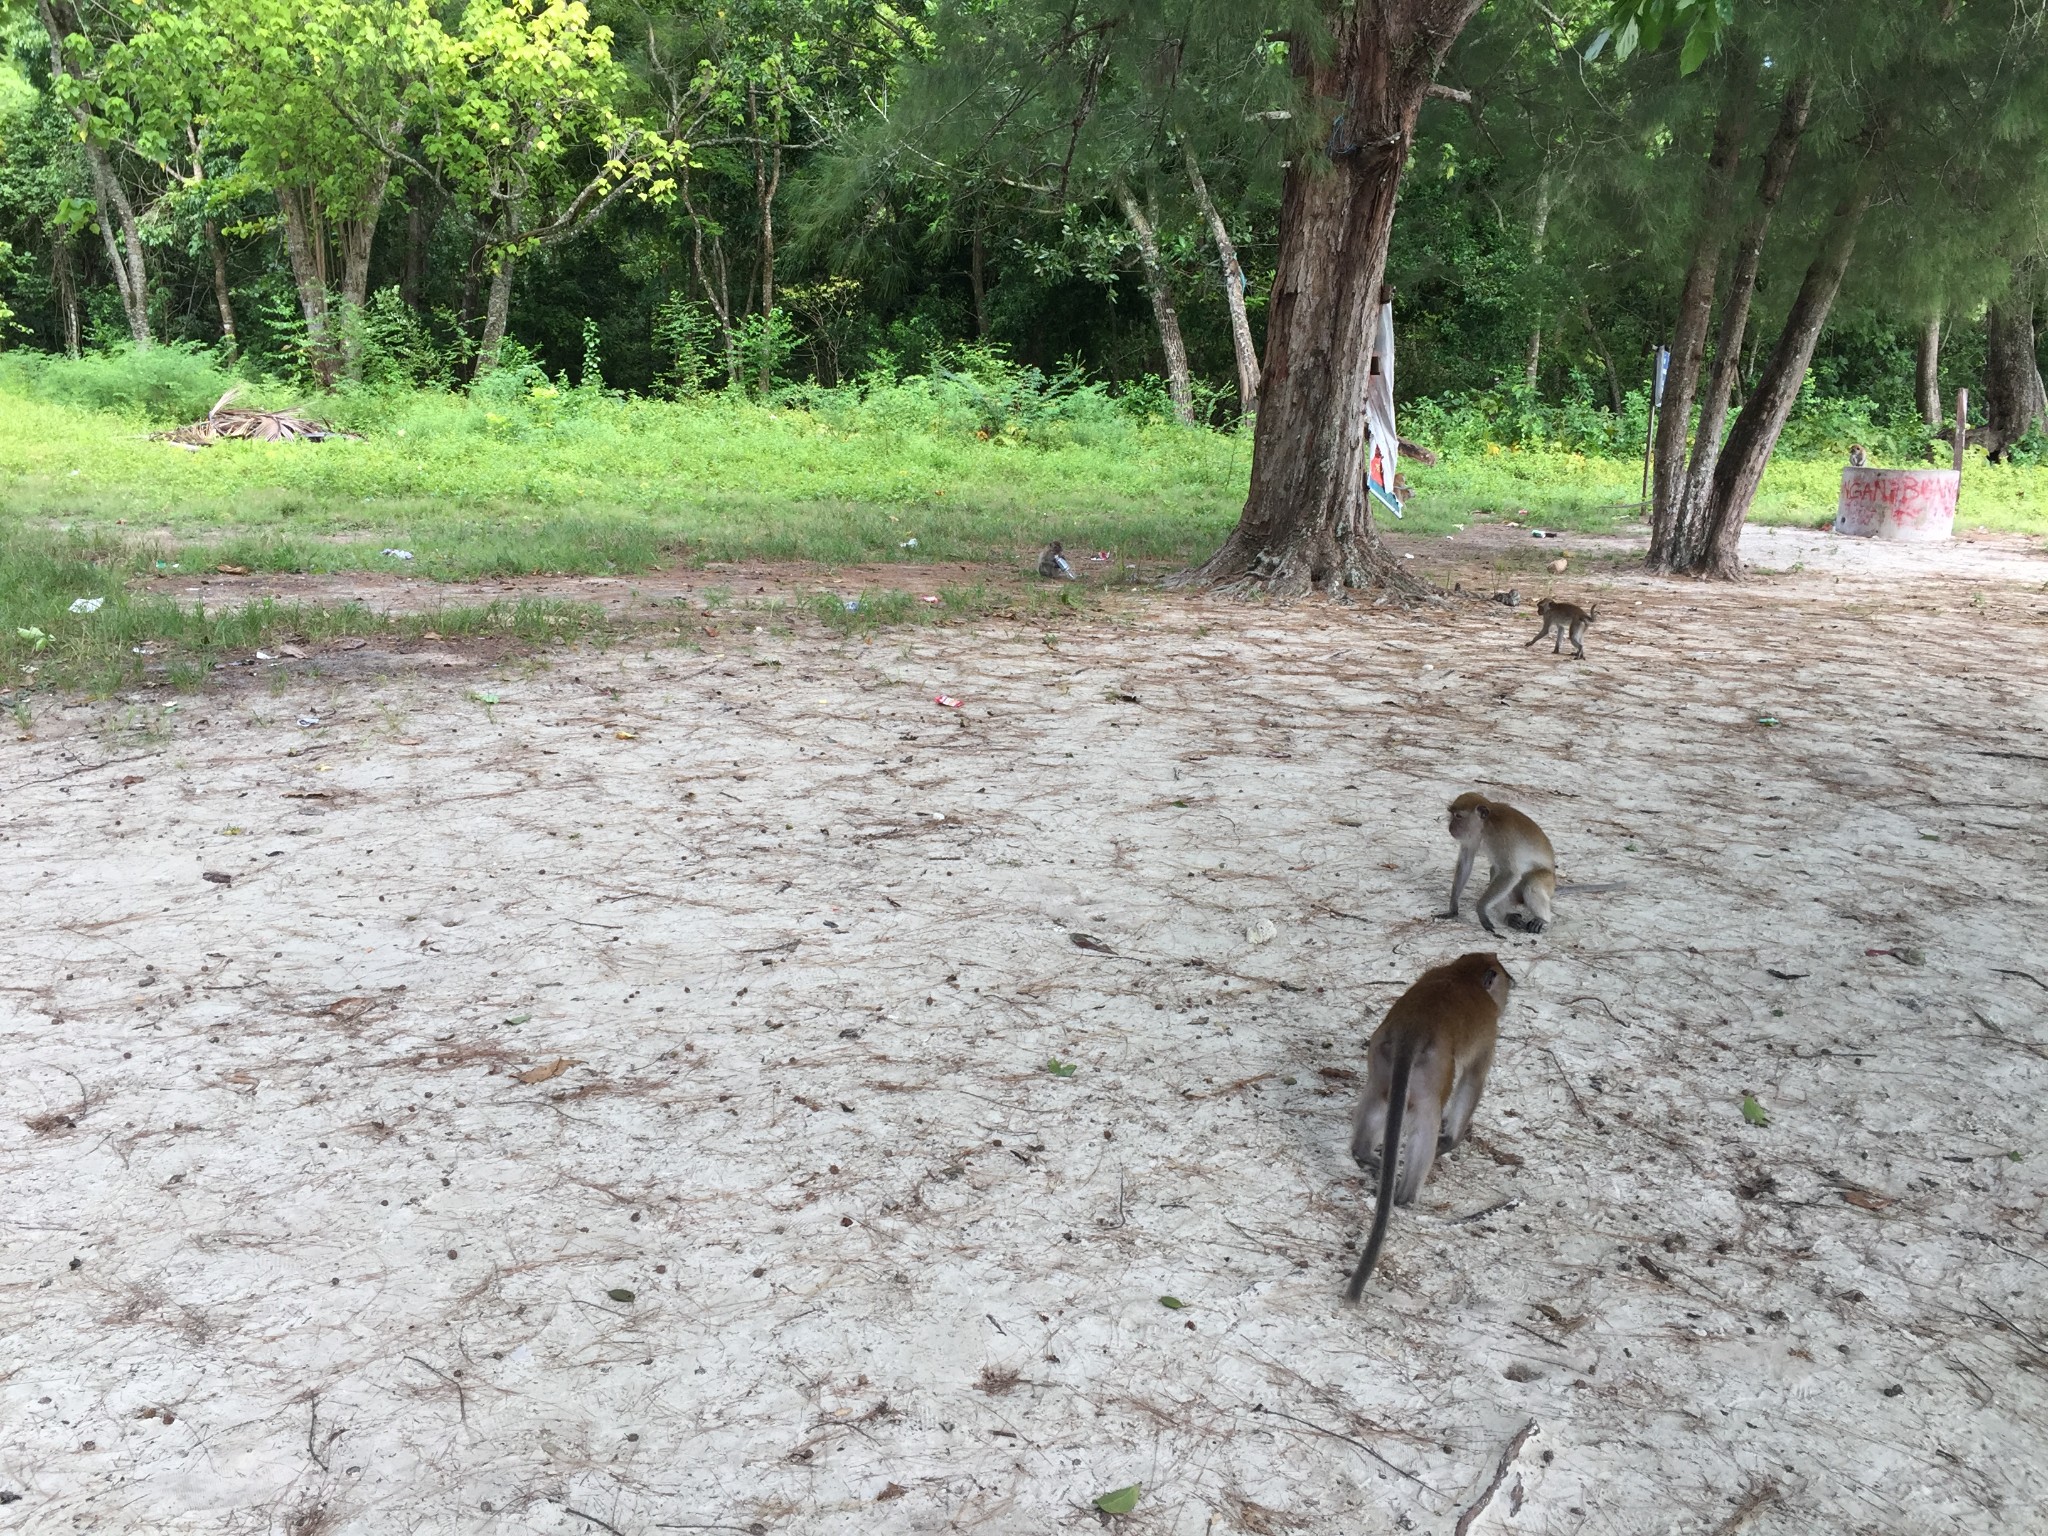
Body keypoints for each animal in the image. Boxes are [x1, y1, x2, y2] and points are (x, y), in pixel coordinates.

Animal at [1351, 958, 1515, 1302]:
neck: (1462, 973)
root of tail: (1412, 1032)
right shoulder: (1488, 1033)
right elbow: (1473, 1080)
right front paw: (1451, 1140)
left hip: (1380, 1055)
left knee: (1377, 1096)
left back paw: (1364, 1154)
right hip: (1433, 1074)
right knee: (1427, 1119)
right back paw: (1405, 1196)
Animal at [1441, 794, 1548, 937]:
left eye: (1458, 816)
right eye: (1452, 814)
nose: (1451, 827)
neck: (1486, 825)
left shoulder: (1500, 837)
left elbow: (1510, 873)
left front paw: (1480, 909)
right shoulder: (1472, 836)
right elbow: (1466, 862)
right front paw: (1453, 907)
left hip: (1547, 879)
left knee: (1532, 883)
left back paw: (1541, 919)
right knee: (1495, 870)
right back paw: (1508, 916)